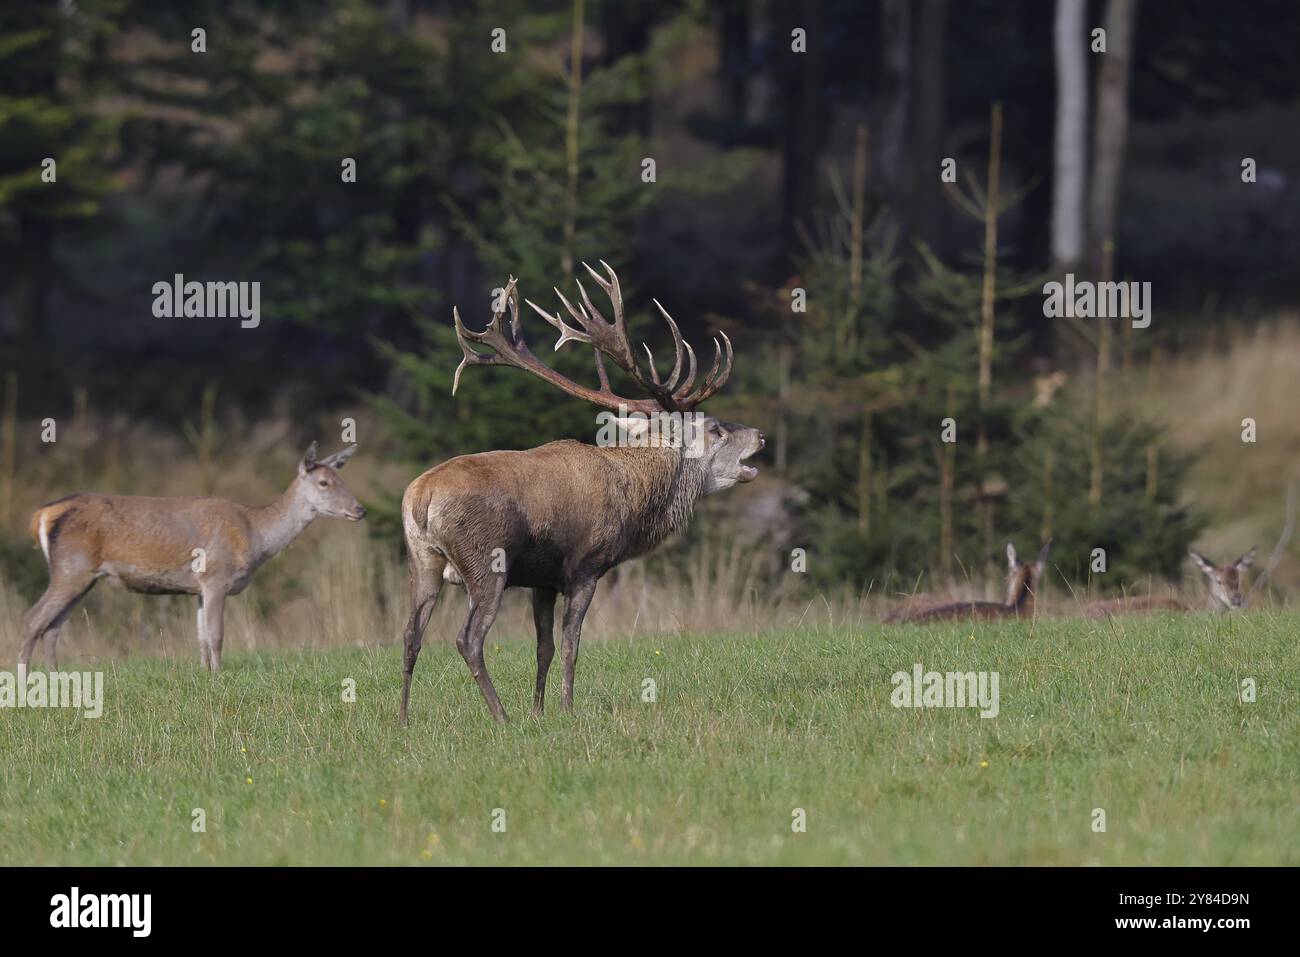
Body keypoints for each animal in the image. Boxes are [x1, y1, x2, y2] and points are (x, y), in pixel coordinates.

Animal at [19, 442, 364, 671]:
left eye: (343, 480)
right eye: (324, 483)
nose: (360, 509)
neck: (257, 536)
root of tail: (43, 514)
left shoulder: (198, 587)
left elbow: (200, 638)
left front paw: (205, 674)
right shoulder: (216, 575)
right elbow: (216, 635)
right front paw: (219, 676)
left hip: (83, 577)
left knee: (53, 626)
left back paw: (55, 676)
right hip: (71, 568)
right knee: (32, 620)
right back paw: (25, 684)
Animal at [398, 262, 764, 723]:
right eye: (715, 429)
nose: (760, 435)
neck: (634, 501)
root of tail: (420, 498)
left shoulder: (542, 580)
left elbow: (544, 647)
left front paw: (539, 711)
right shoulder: (585, 566)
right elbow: (572, 645)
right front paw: (566, 709)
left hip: (422, 560)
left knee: (410, 635)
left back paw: (402, 719)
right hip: (486, 560)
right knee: (469, 639)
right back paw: (501, 716)